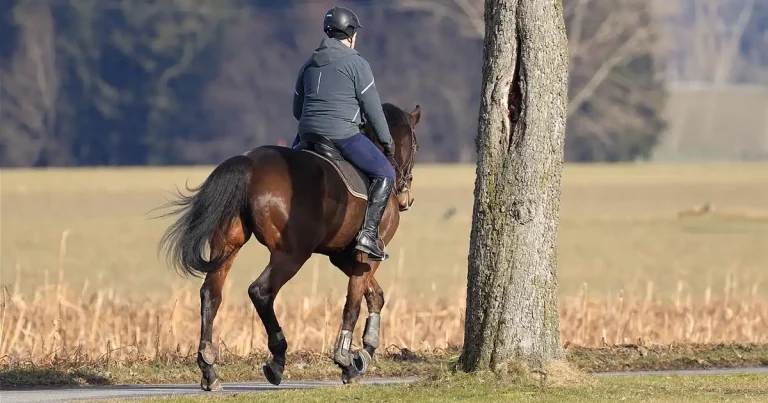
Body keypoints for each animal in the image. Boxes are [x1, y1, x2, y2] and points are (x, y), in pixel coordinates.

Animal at [156, 102, 421, 391]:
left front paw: (365, 351)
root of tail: (251, 164)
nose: (407, 198)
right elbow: (353, 302)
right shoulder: (365, 255)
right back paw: (277, 359)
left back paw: (209, 369)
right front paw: (347, 361)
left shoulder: (342, 256)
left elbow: (375, 295)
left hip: (227, 244)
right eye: (416, 146)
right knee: (261, 292)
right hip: (291, 255)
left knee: (211, 294)